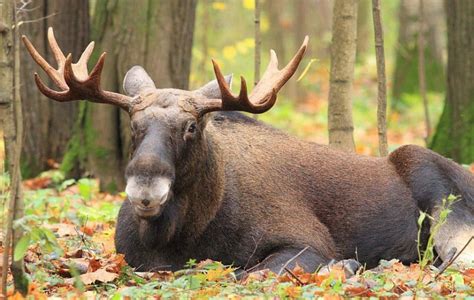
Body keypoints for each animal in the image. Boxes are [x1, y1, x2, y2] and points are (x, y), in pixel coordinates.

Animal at [23, 29, 474, 276]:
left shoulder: (308, 241)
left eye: (192, 126)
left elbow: (248, 274)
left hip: (439, 191)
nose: (145, 189)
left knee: (453, 260)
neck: (178, 237)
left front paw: (344, 266)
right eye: (134, 125)